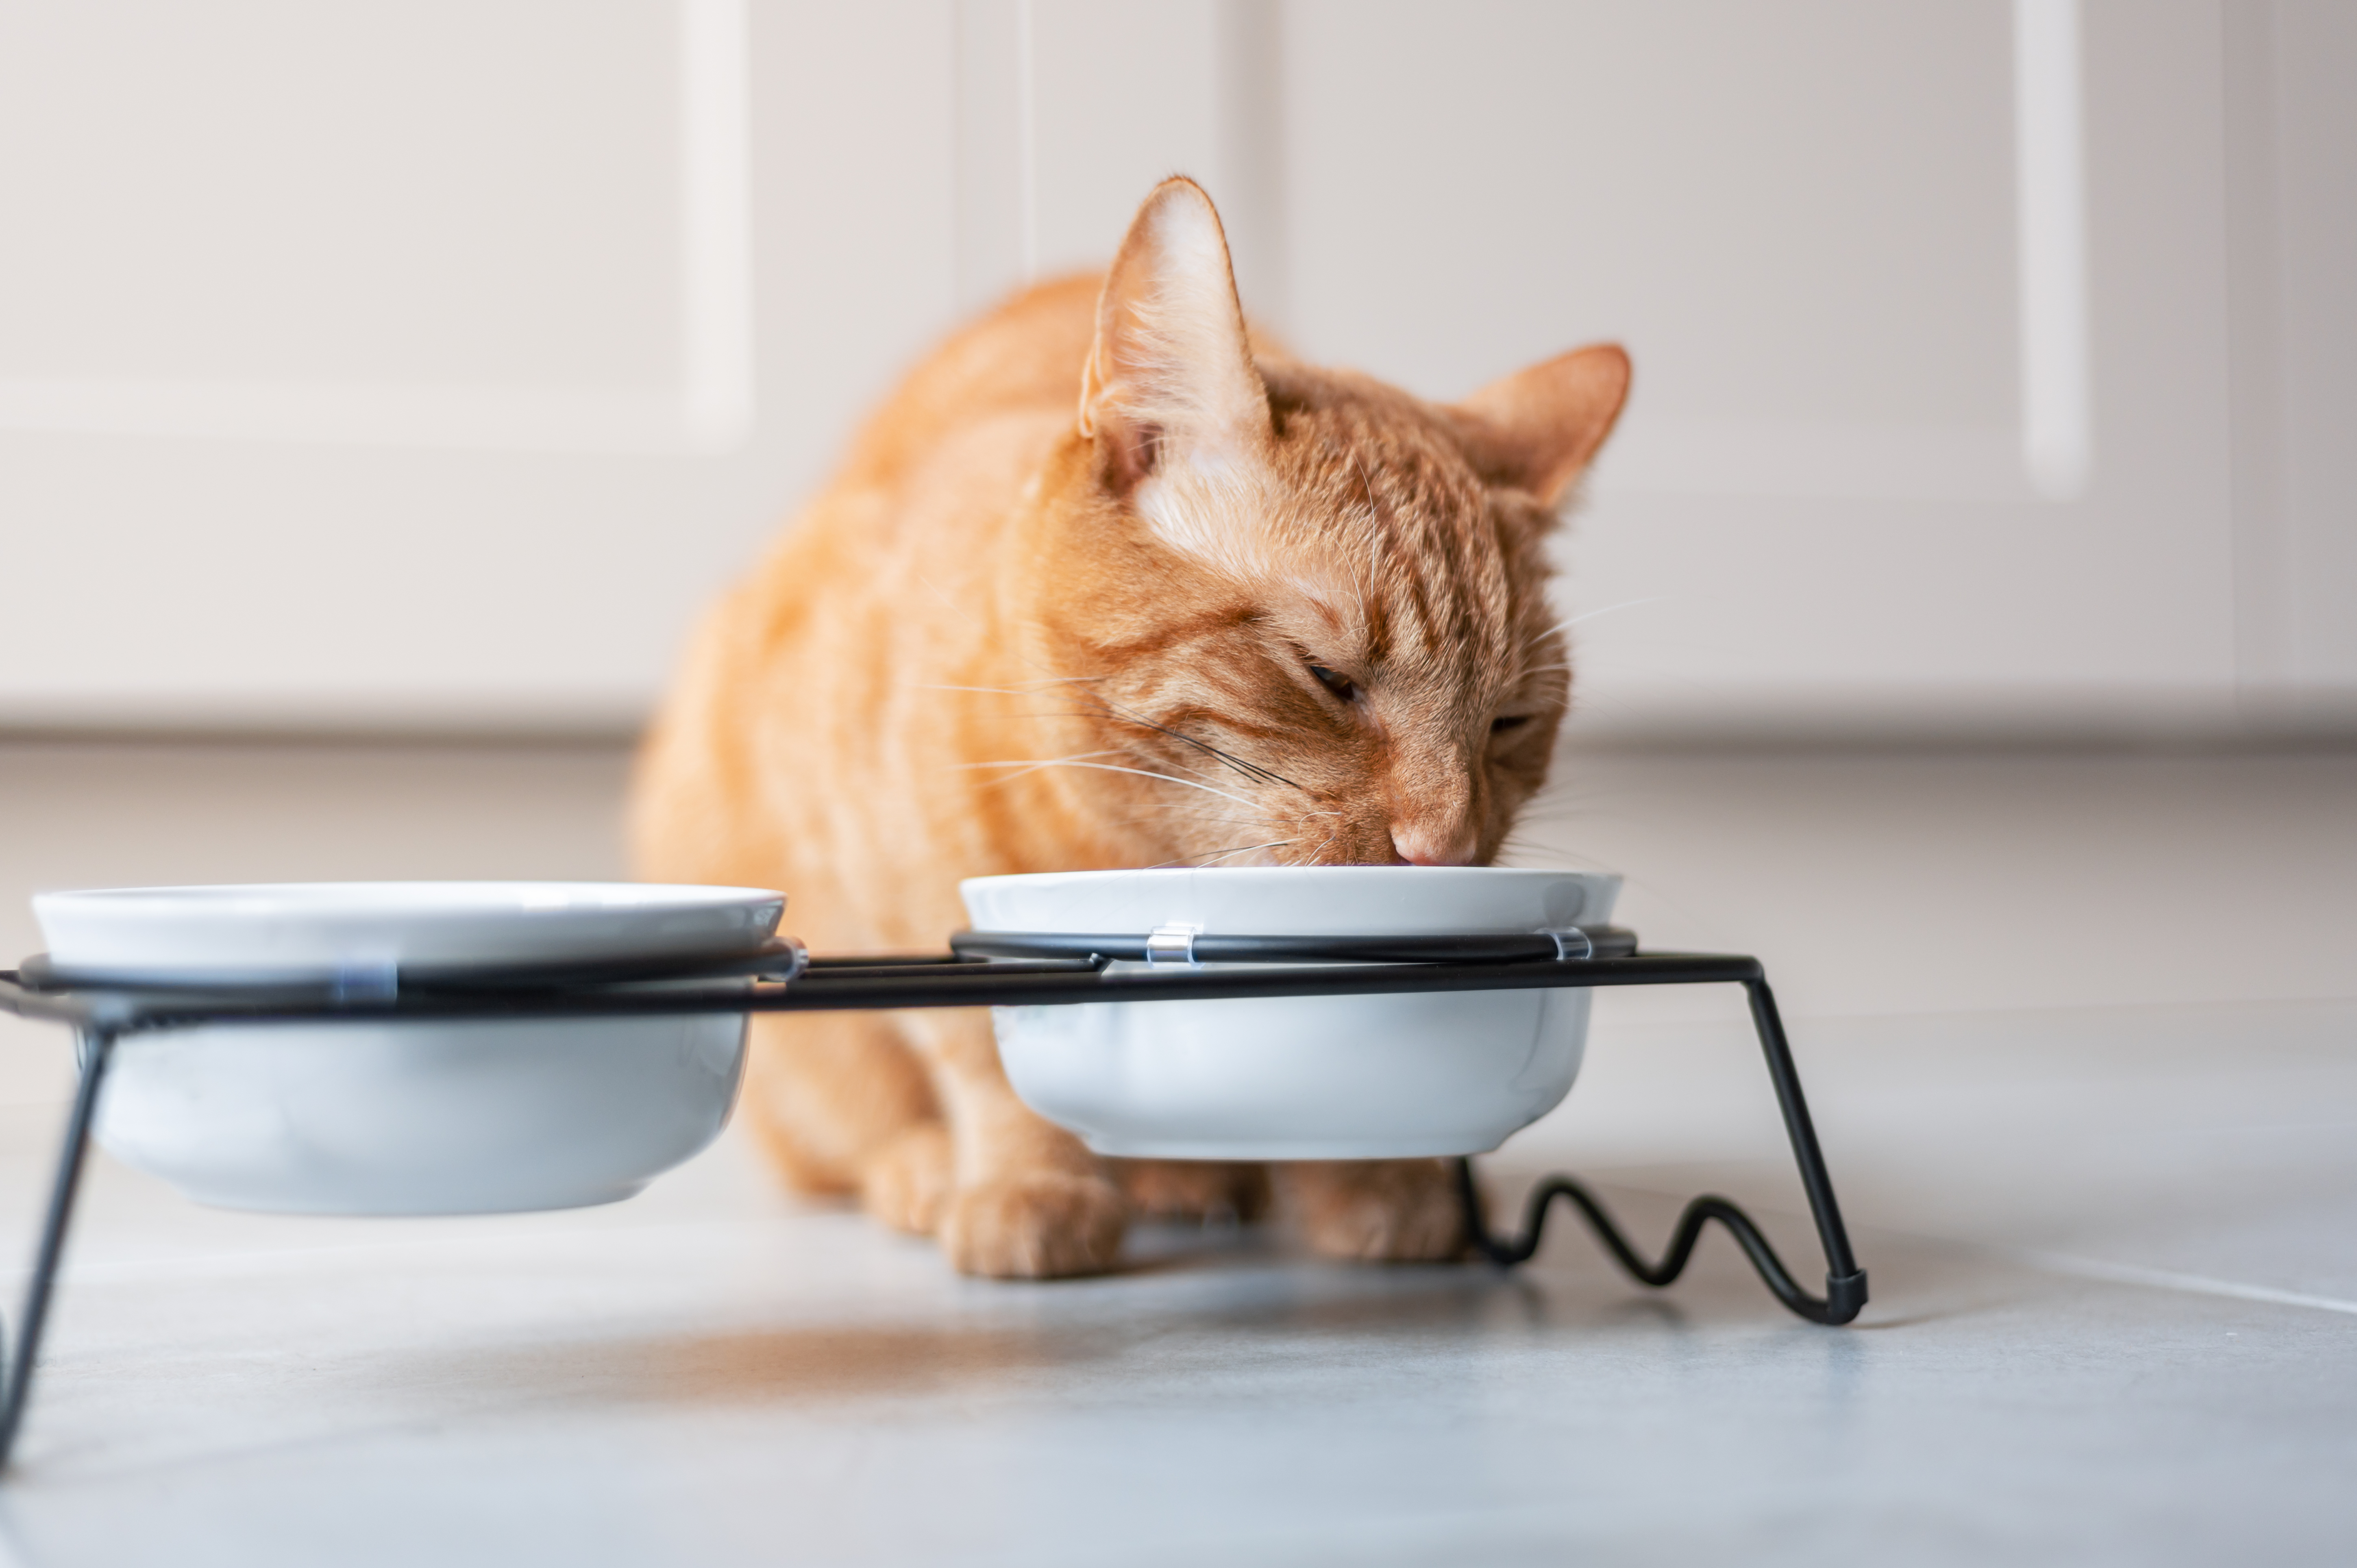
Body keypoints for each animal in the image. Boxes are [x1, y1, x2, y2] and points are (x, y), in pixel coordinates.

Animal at [627, 177, 1621, 1283]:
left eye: (1509, 722)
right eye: (1329, 679)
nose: (1444, 845)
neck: (1121, 843)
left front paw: (1378, 1184)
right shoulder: (902, 878)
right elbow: (980, 1059)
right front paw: (1028, 1187)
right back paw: (929, 1170)